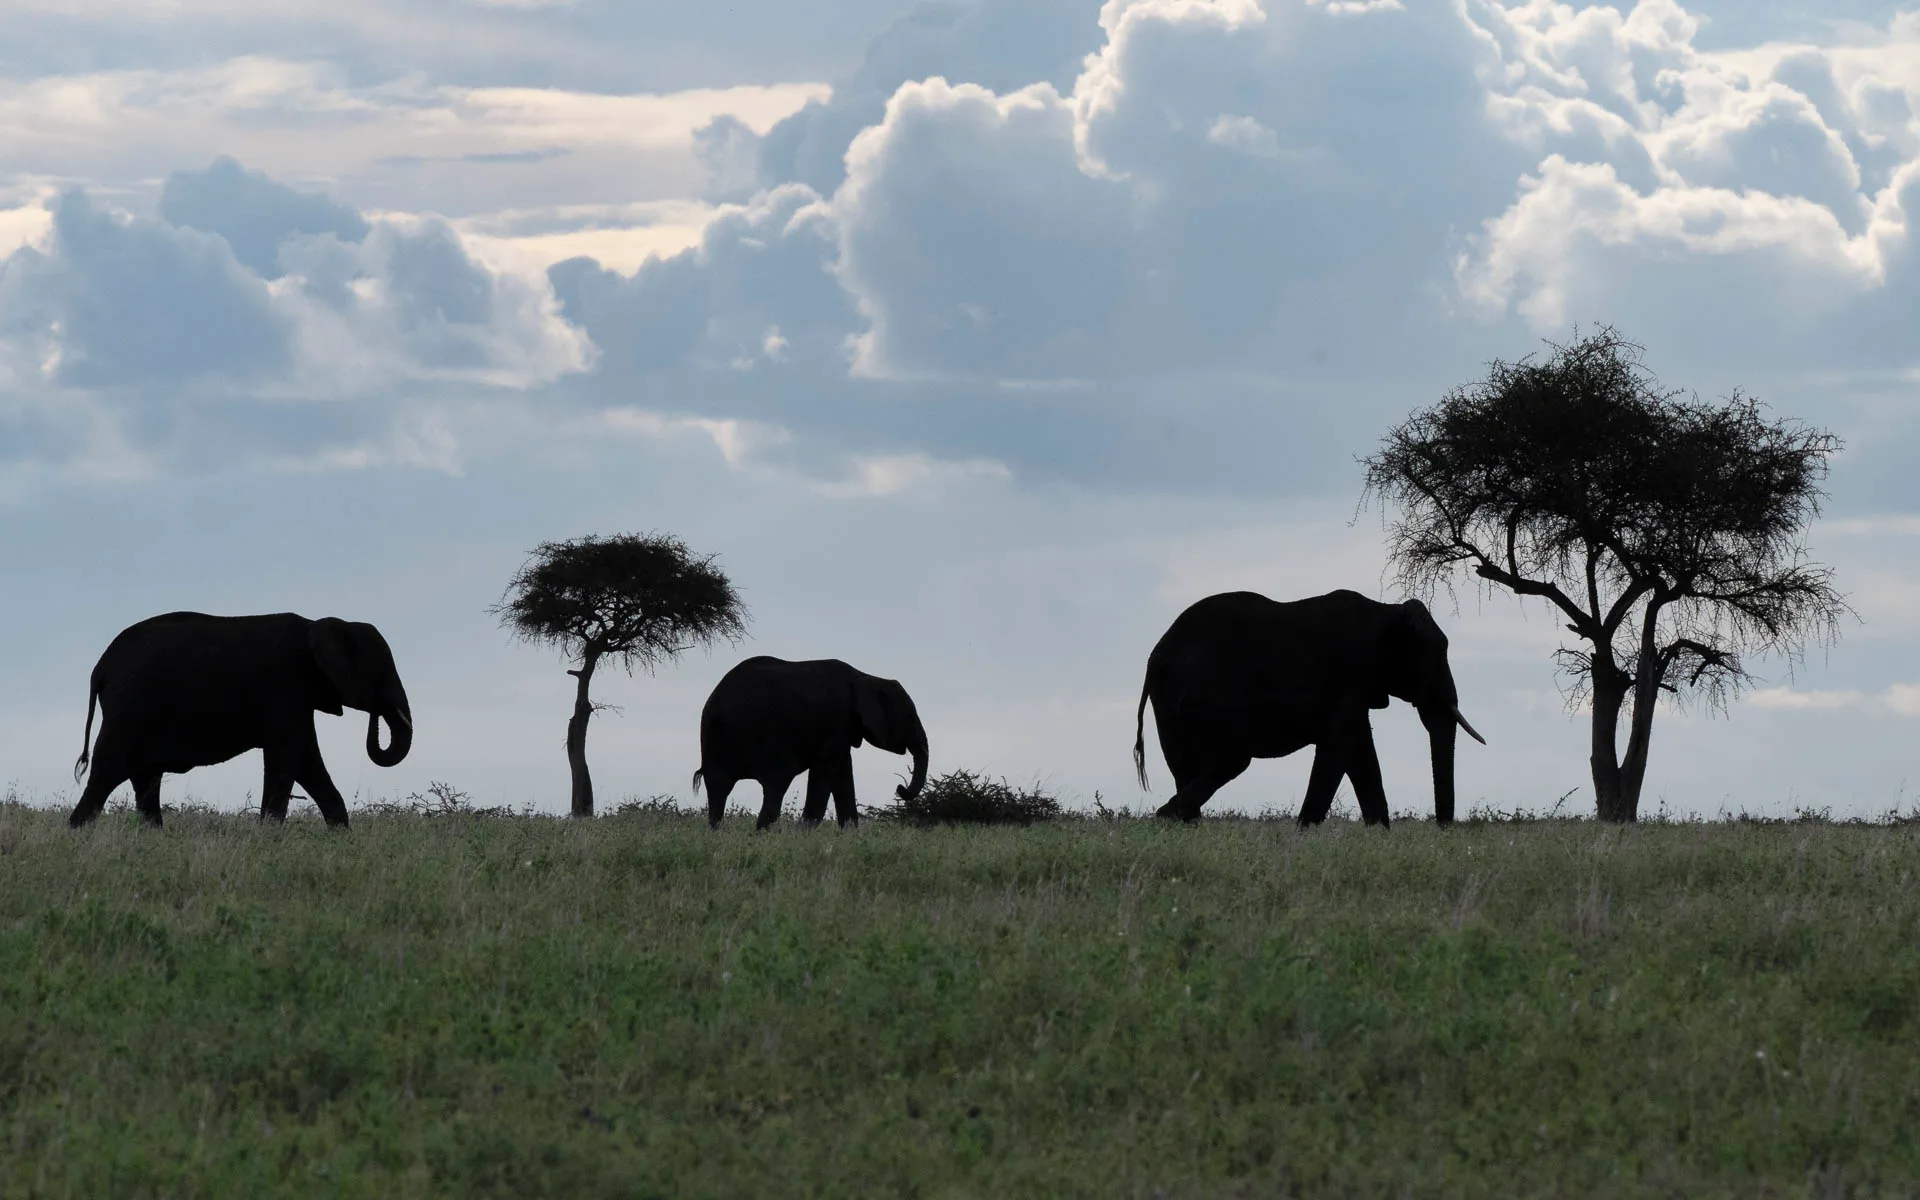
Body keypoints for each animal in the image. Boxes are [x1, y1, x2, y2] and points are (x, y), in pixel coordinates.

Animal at [68, 612, 414, 829]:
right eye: (380, 672)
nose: (377, 712)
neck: (319, 625)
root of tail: (99, 669)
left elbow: (304, 762)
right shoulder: (286, 689)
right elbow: (290, 757)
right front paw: (269, 838)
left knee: (145, 781)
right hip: (128, 711)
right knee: (106, 774)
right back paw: (77, 835)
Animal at [693, 656, 929, 830]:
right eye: (910, 717)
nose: (899, 787)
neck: (866, 676)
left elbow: (843, 774)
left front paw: (851, 836)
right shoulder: (836, 721)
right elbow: (824, 773)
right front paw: (802, 834)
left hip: (714, 739)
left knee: (719, 788)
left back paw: (716, 834)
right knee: (775, 785)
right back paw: (762, 836)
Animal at [1133, 589, 1483, 827]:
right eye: (1435, 655)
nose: (1443, 829)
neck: (1386, 612)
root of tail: (1157, 655)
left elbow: (1360, 752)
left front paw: (1379, 834)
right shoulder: (1349, 677)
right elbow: (1340, 747)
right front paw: (1304, 833)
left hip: (1168, 700)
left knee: (1183, 763)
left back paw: (1182, 824)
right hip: (1212, 693)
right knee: (1231, 760)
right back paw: (1165, 818)